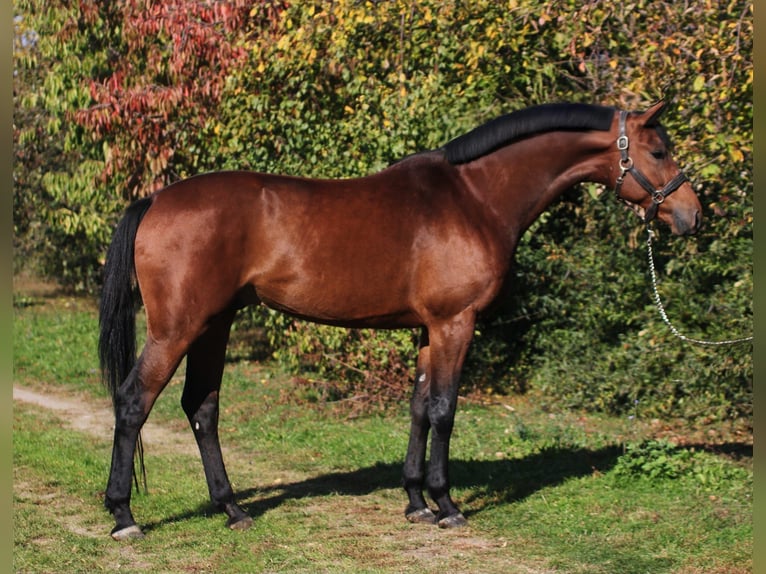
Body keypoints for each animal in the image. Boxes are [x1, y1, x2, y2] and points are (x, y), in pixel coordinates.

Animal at [99, 101, 702, 540]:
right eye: (658, 150)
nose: (692, 215)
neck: (475, 197)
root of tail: (155, 200)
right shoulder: (456, 323)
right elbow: (444, 411)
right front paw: (446, 504)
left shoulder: (427, 329)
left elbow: (417, 409)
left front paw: (414, 502)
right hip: (177, 329)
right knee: (133, 402)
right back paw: (124, 516)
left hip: (214, 325)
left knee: (201, 408)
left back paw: (232, 509)